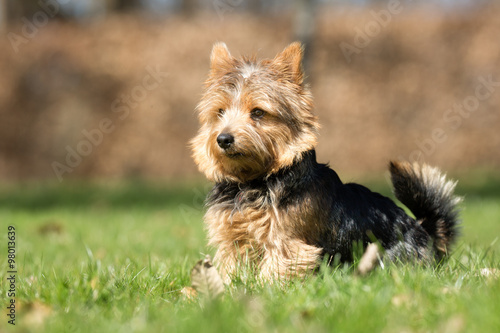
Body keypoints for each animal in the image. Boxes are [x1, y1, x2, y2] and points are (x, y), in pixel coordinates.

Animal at [190, 41, 460, 280]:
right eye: (220, 112)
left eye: (258, 112)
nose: (223, 139)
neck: (254, 181)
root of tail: (423, 230)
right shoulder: (232, 240)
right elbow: (232, 268)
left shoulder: (286, 241)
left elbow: (275, 270)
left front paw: (266, 290)